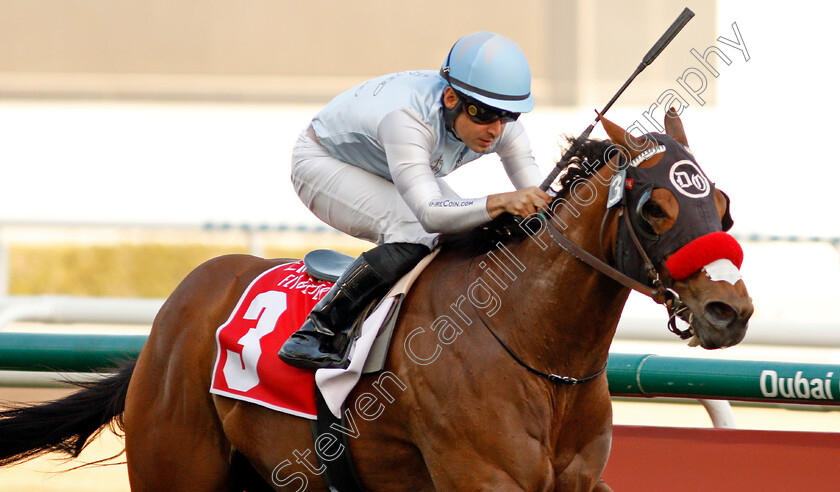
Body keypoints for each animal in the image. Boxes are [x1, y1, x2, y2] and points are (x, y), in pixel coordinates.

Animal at [0, 113, 752, 490]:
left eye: (720, 202)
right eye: (655, 209)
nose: (730, 311)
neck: (539, 352)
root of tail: (171, 315)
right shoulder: (482, 481)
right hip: (177, 469)